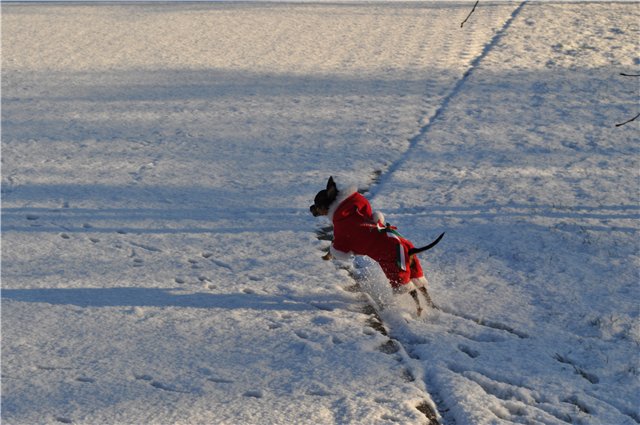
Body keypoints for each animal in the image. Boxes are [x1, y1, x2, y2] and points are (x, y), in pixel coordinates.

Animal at [312, 176, 444, 314]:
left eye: (316, 203)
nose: (310, 207)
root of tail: (410, 250)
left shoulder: (340, 241)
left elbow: (331, 249)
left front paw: (326, 257)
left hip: (396, 275)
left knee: (413, 292)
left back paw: (419, 310)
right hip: (414, 270)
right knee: (423, 289)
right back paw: (431, 306)